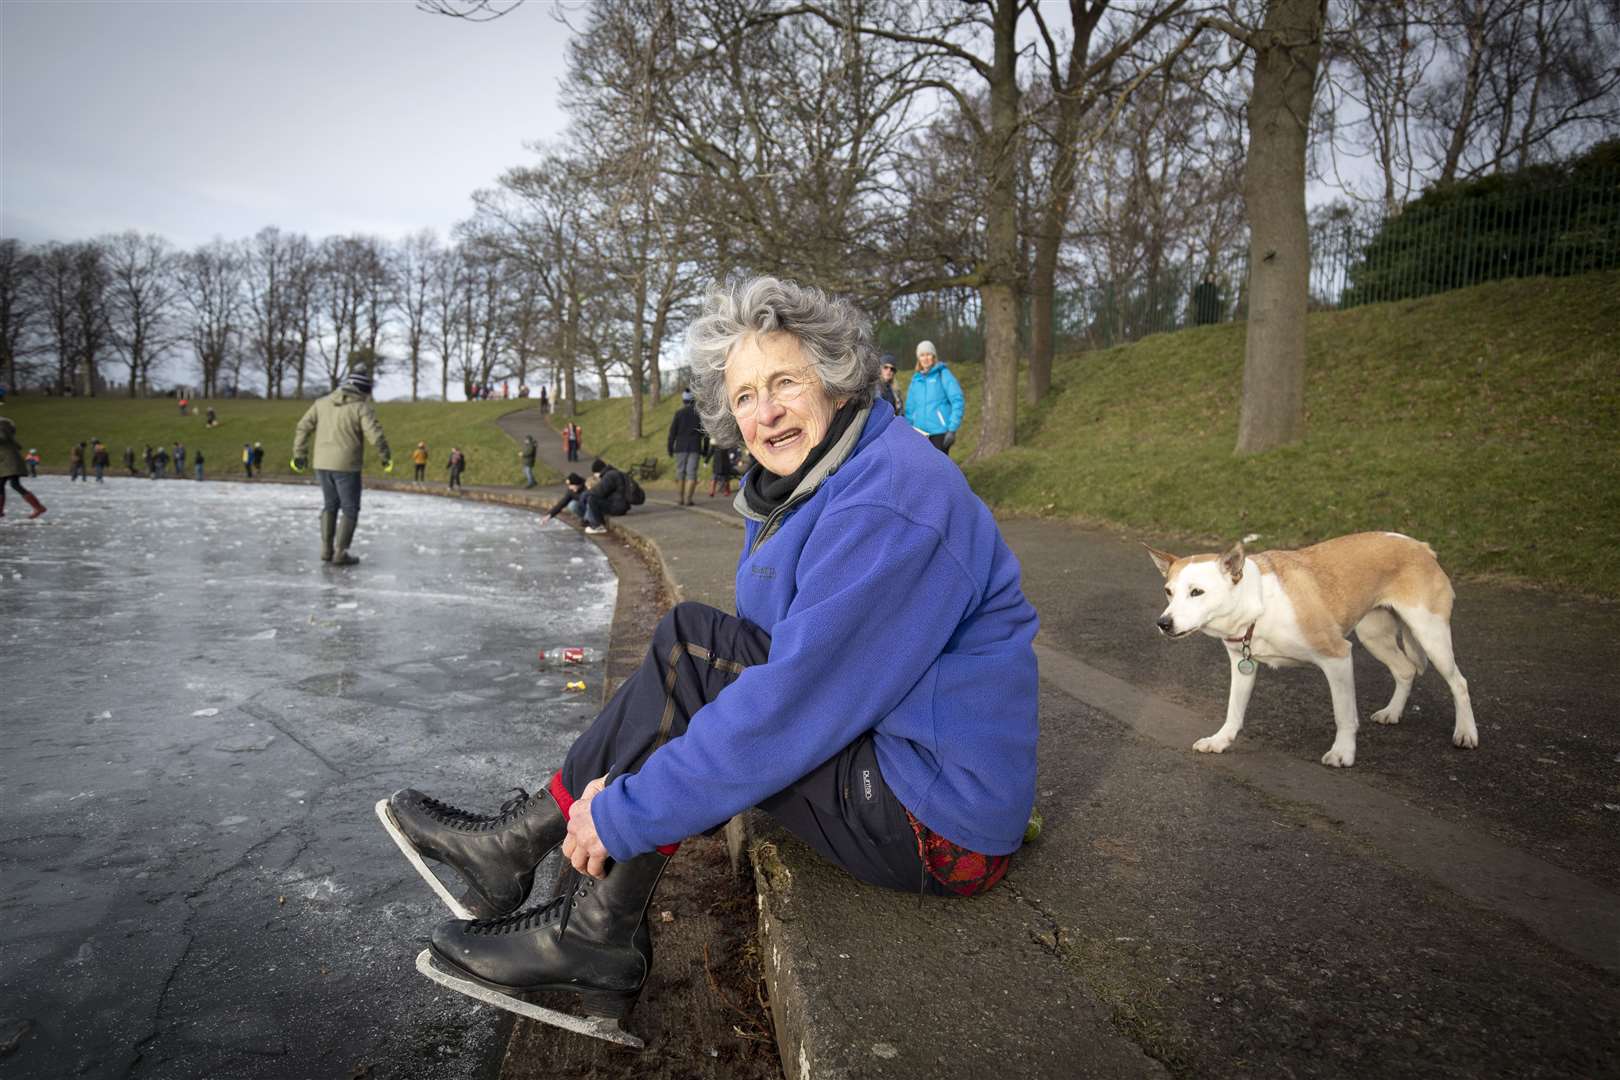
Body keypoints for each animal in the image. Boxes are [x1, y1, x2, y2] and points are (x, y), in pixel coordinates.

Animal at [1146, 534, 1477, 767]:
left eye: (1197, 592)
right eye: (1168, 591)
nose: (1164, 623)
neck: (1260, 602)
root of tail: (1421, 547)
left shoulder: (1338, 657)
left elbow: (1344, 715)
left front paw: (1343, 753)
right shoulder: (1242, 665)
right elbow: (1234, 711)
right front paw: (1220, 741)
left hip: (1430, 634)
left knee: (1459, 683)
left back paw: (1466, 732)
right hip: (1374, 635)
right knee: (1405, 670)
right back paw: (1392, 713)